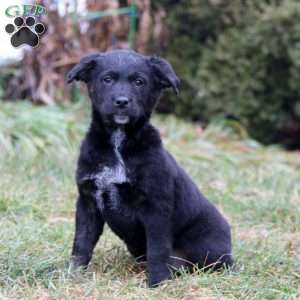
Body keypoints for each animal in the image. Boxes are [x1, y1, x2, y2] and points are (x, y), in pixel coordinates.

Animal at [67, 48, 232, 286]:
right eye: (107, 79)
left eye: (139, 82)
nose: (122, 102)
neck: (119, 144)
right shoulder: (88, 201)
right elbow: (81, 242)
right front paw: (72, 274)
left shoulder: (156, 207)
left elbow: (157, 248)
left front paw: (157, 283)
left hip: (209, 249)